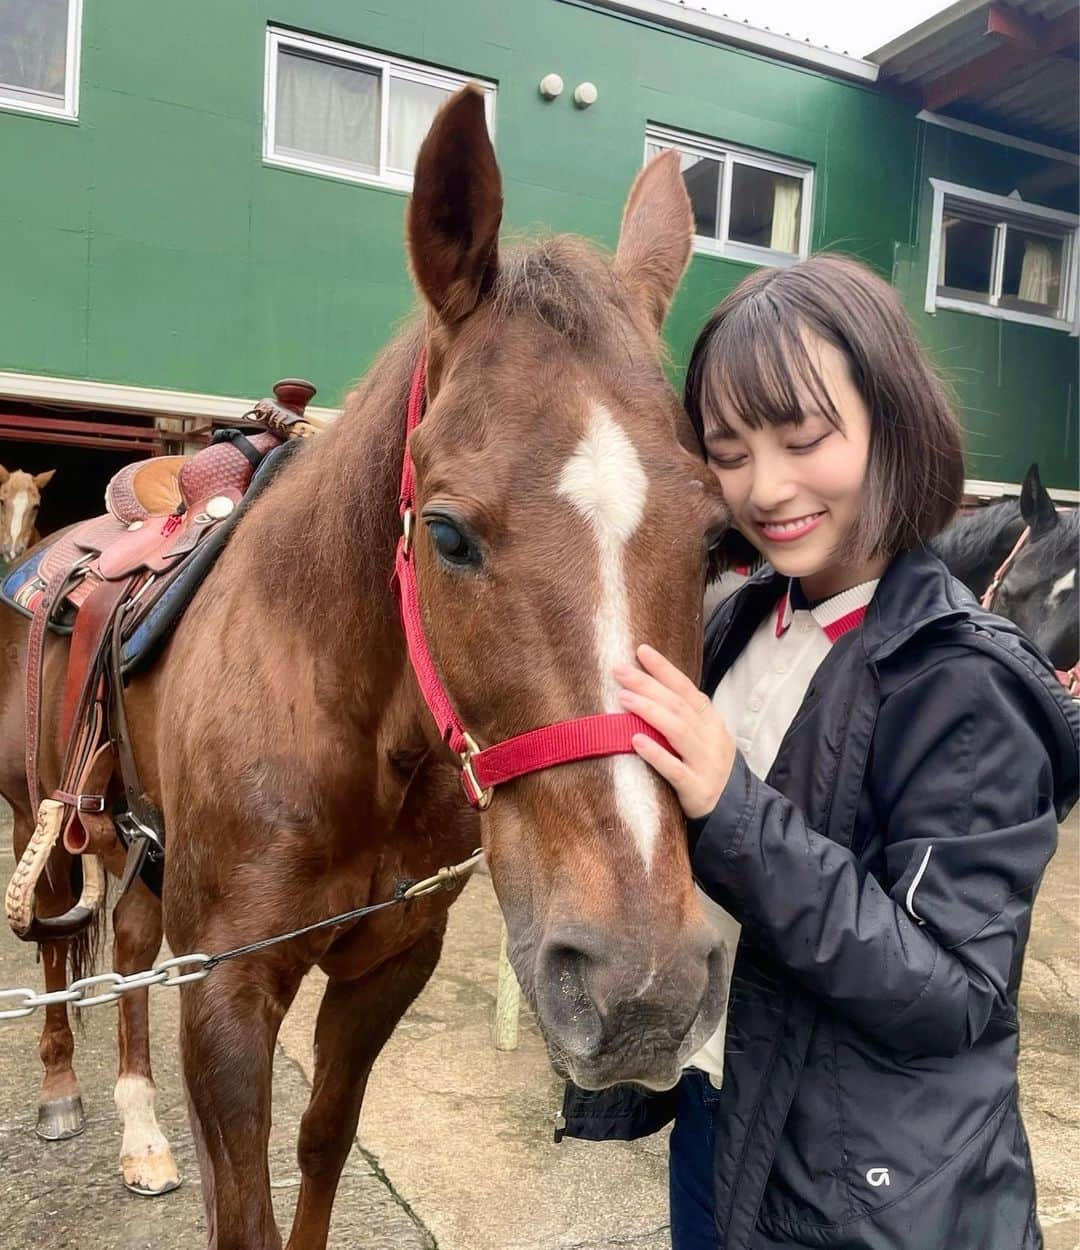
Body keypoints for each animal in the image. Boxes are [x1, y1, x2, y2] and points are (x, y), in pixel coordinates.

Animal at [0, 90, 735, 1250]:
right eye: (445, 531)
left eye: (715, 539)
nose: (644, 983)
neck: (342, 712)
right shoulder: (228, 989)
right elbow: (247, 1205)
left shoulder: (389, 964)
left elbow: (320, 1146)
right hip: (48, 810)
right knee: (63, 945)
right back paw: (70, 1094)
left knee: (126, 941)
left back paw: (141, 1126)